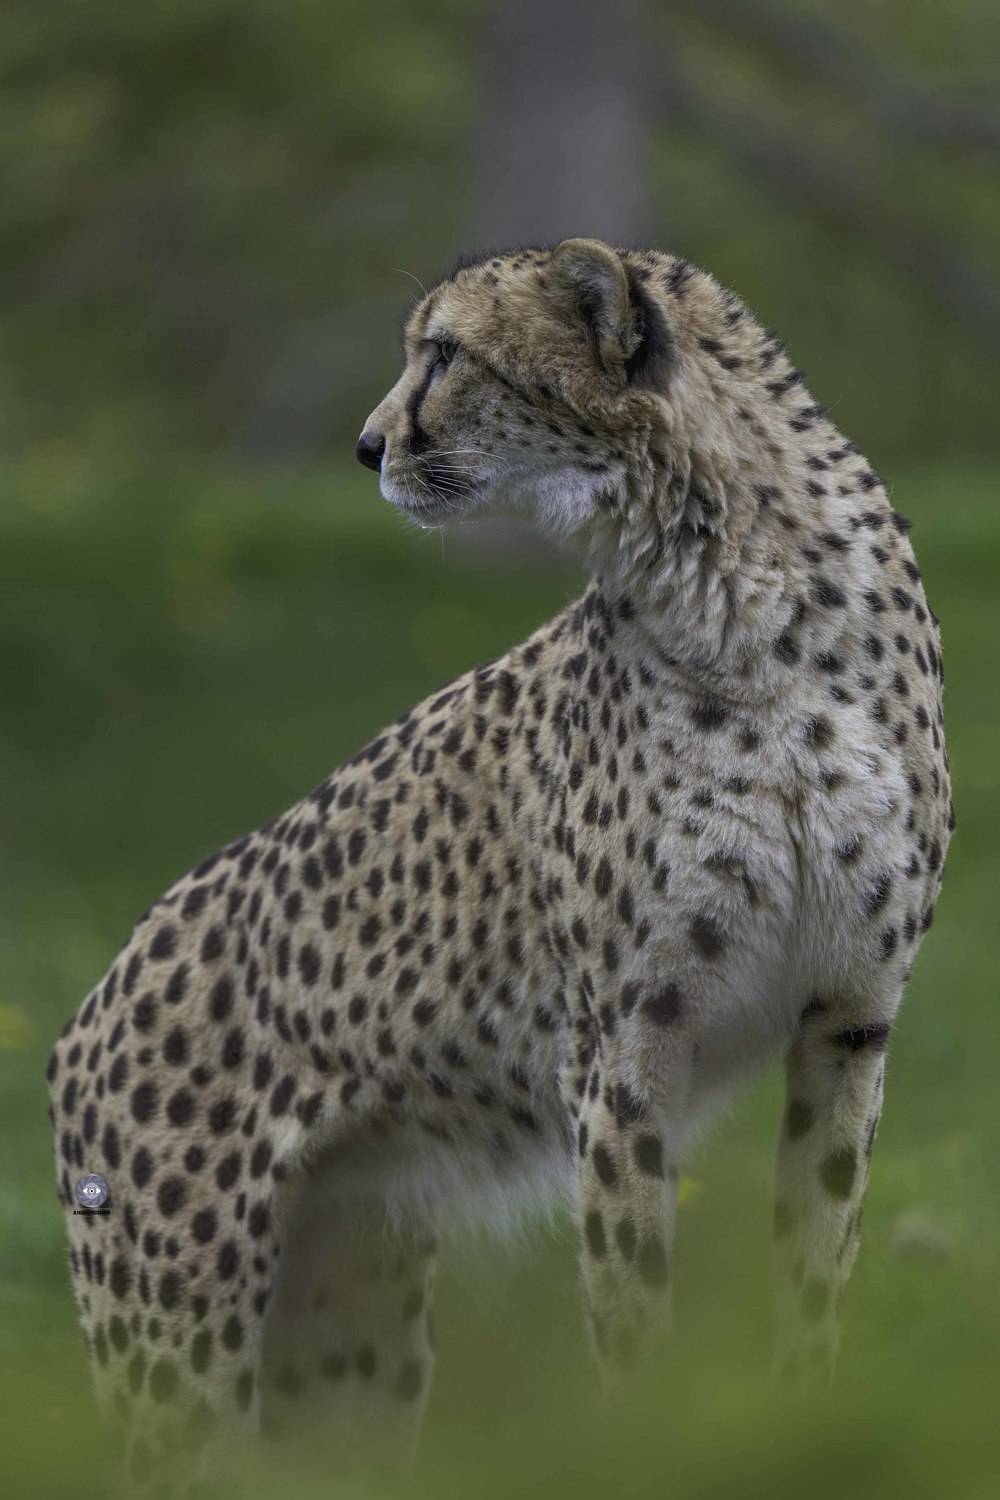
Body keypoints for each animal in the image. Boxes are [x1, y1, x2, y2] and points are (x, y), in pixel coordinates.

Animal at [48, 237, 953, 1492]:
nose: (367, 444)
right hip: (177, 1353)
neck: (740, 581)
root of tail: (94, 997)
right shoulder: (622, 1050)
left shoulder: (847, 1018)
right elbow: (632, 1308)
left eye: (444, 354)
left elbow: (815, 1270)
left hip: (345, 1350)